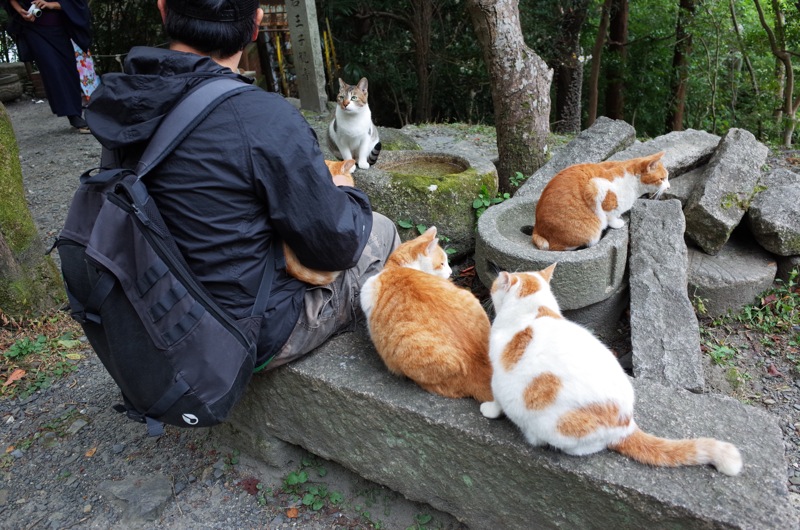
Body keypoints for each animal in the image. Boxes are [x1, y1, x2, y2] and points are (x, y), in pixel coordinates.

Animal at [482, 264, 744, 474]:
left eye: (495, 285)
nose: (492, 285)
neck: (533, 308)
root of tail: (625, 424)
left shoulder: (498, 376)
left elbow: (496, 399)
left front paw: (489, 410)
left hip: (556, 426)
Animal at [536, 151, 672, 250]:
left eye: (667, 178)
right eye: (662, 179)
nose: (669, 187)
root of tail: (537, 228)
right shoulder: (596, 186)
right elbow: (609, 214)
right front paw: (616, 222)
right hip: (588, 233)